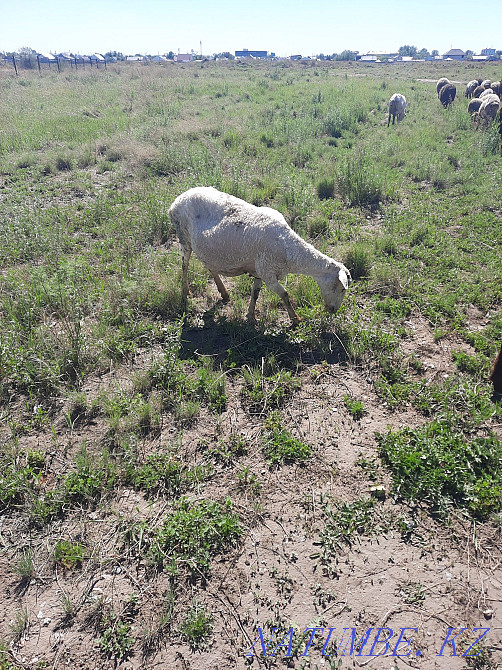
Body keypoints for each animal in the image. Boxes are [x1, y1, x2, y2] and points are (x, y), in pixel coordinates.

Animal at [168, 187, 352, 326]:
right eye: (342, 288)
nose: (333, 310)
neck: (289, 249)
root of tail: (177, 200)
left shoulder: (259, 271)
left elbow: (255, 294)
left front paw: (251, 317)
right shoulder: (268, 273)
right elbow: (285, 295)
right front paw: (295, 319)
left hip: (207, 249)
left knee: (210, 266)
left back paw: (224, 292)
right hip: (183, 237)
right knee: (184, 265)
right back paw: (185, 292)